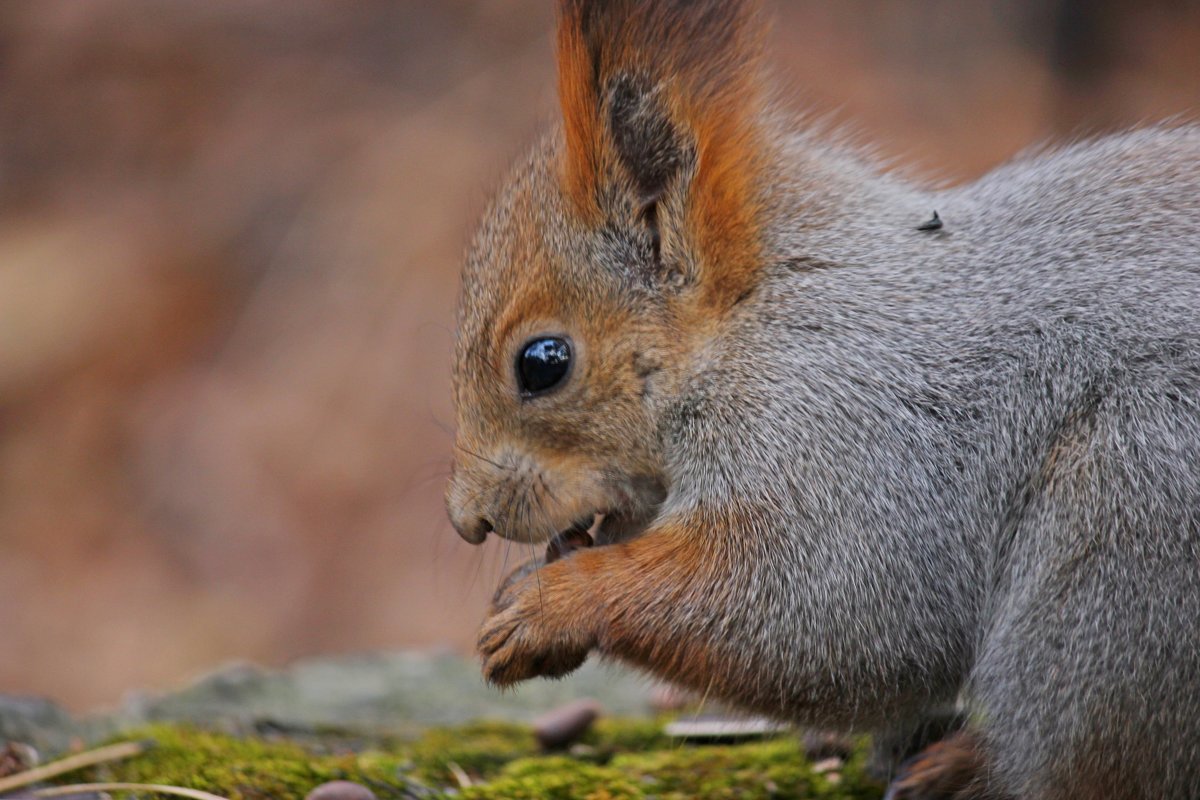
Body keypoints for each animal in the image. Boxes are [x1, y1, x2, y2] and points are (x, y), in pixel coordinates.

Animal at [444, 3, 1200, 796]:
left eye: (543, 364)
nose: (469, 521)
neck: (758, 311)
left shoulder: (853, 425)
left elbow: (829, 614)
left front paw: (550, 606)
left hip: (1122, 543)